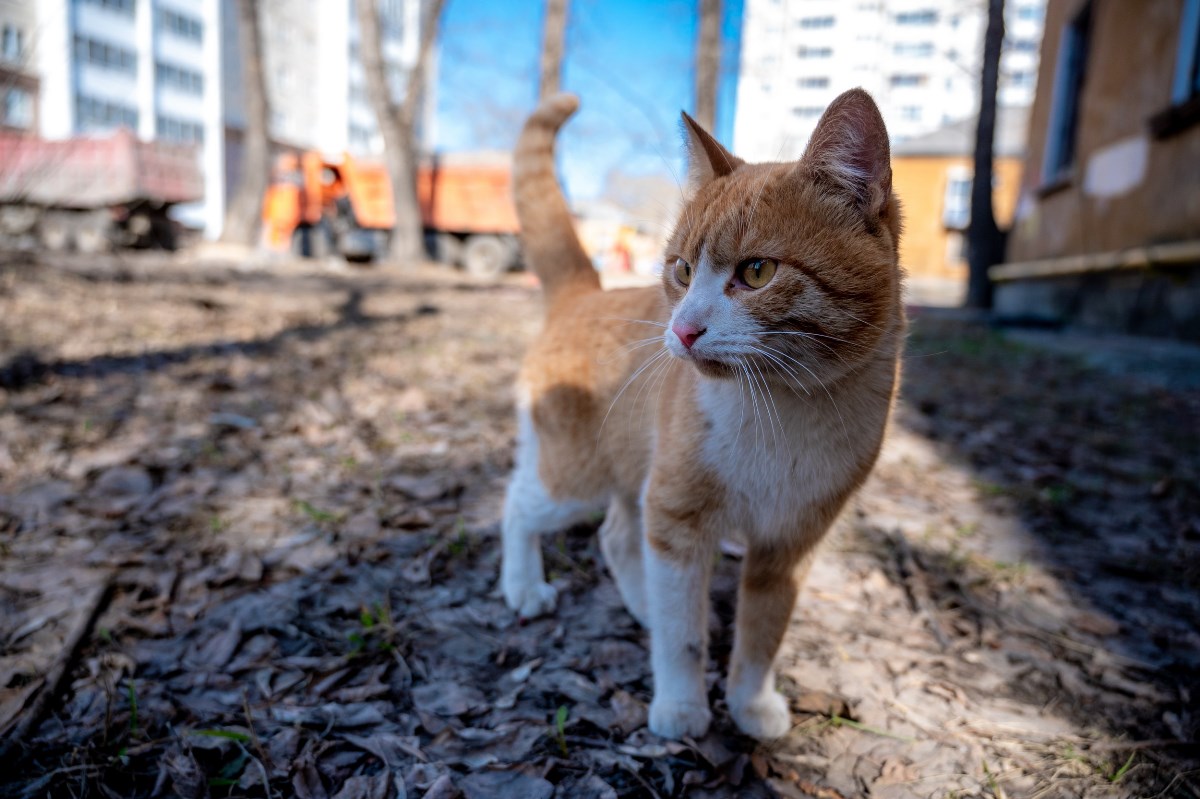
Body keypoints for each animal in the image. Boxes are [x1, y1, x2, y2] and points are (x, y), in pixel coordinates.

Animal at [501, 88, 902, 739]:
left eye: (757, 271)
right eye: (682, 271)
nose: (684, 329)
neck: (785, 414)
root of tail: (584, 295)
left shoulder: (791, 544)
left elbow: (764, 633)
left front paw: (751, 704)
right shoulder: (677, 516)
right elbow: (682, 636)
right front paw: (682, 708)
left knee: (617, 536)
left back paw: (642, 607)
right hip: (575, 479)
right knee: (518, 504)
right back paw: (525, 586)